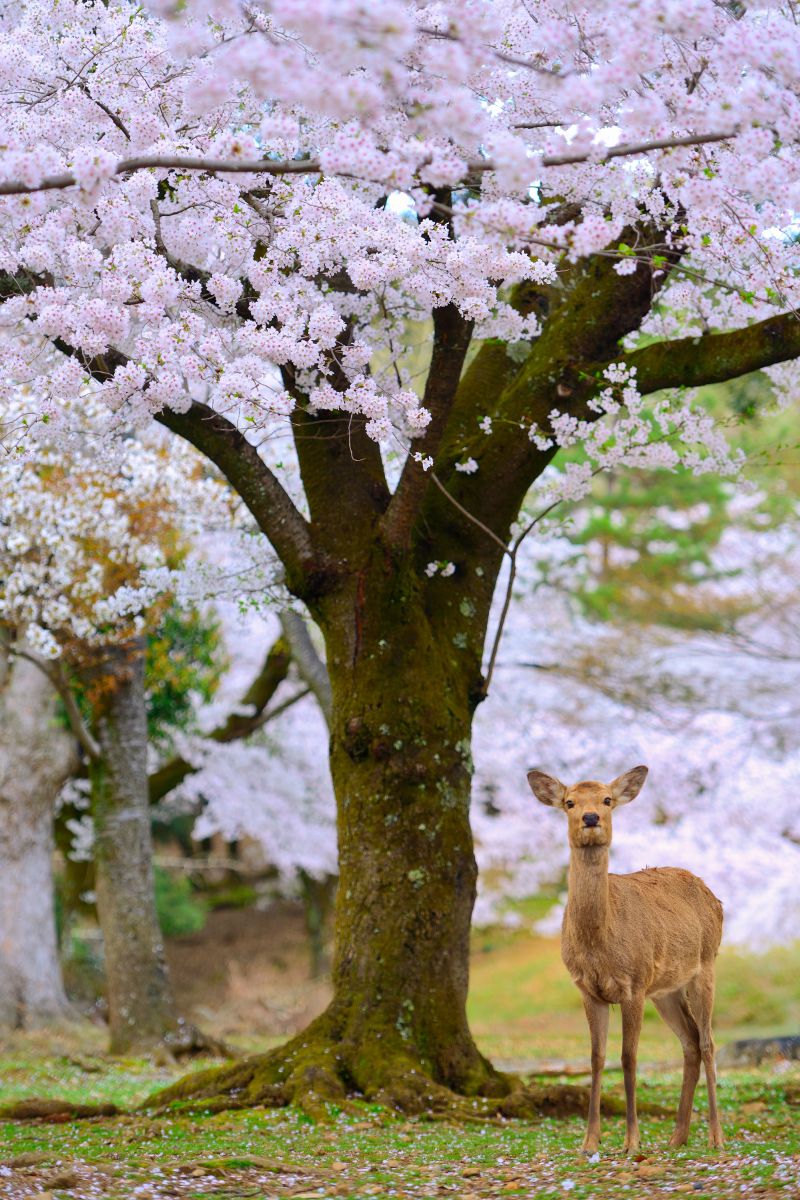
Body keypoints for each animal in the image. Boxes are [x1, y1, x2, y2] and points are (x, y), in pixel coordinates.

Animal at [532, 768, 724, 1152]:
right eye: (569, 802)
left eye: (607, 799)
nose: (591, 818)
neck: (599, 942)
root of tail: (715, 898)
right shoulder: (587, 989)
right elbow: (596, 1058)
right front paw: (590, 1141)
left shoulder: (633, 984)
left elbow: (628, 1057)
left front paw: (632, 1140)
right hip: (665, 989)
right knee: (690, 1041)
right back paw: (677, 1137)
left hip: (705, 964)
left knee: (708, 1042)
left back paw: (715, 1136)